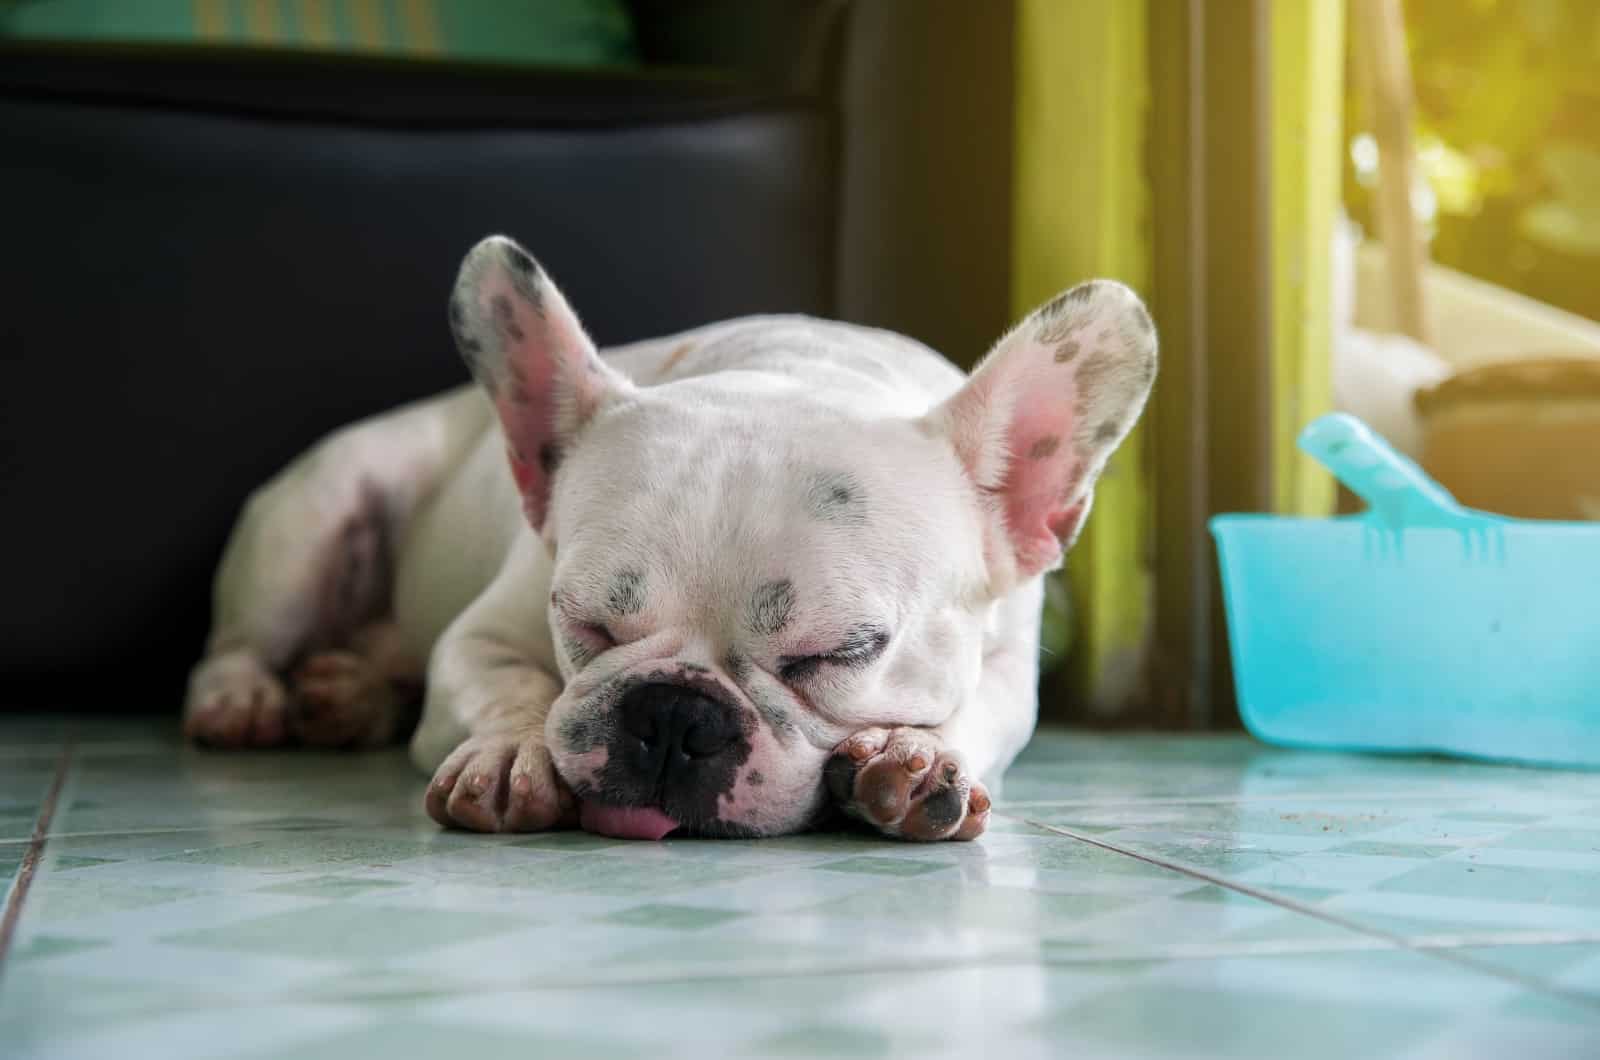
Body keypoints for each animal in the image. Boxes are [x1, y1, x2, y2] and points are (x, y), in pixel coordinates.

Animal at [181, 236, 1152, 845]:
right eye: (584, 624)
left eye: (840, 654)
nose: (678, 715)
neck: (791, 366)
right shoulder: (481, 634)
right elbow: (502, 682)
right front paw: (511, 750)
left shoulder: (1009, 660)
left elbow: (980, 712)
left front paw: (915, 758)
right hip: (314, 517)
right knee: (238, 642)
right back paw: (247, 701)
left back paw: (348, 694)